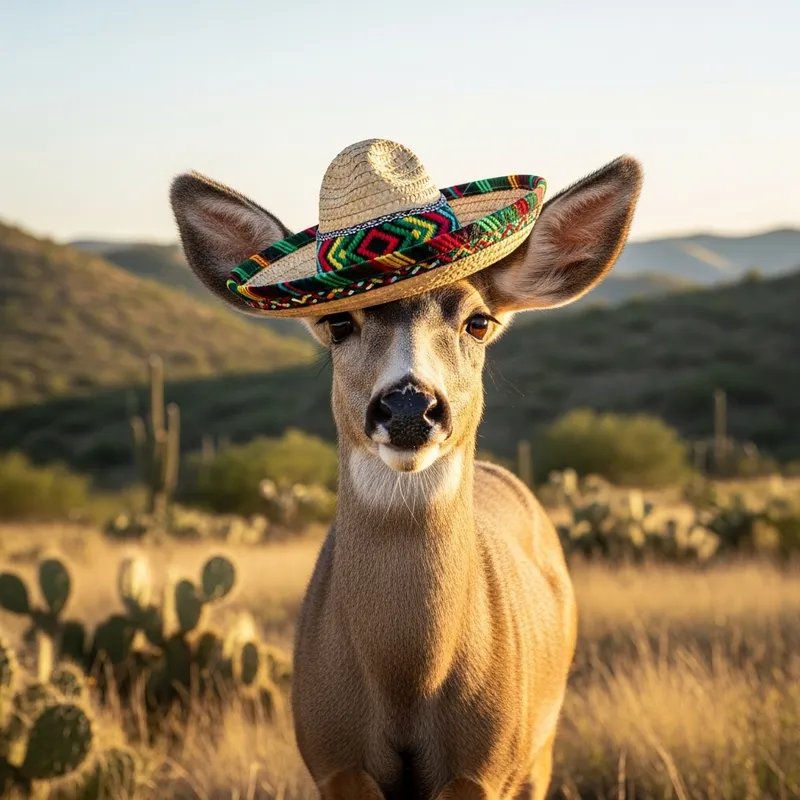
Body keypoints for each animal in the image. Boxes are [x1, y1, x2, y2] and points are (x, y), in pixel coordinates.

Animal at [171, 144, 642, 799]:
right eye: (338, 323)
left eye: (478, 321)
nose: (408, 406)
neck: (405, 678)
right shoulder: (334, 760)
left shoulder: (482, 767)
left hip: (540, 743)